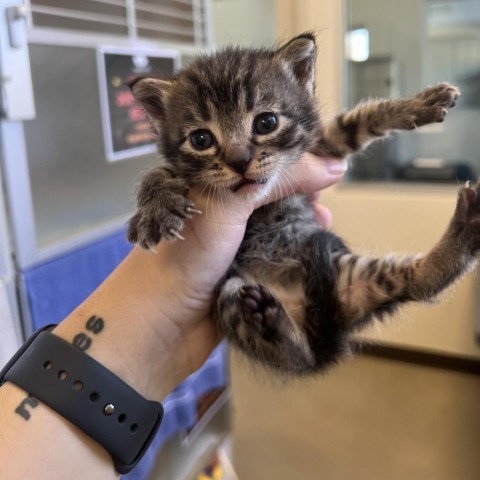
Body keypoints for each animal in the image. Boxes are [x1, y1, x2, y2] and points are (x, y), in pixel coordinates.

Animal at [125, 33, 474, 376]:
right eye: (201, 140)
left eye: (266, 122)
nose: (240, 161)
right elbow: (158, 172)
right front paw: (155, 208)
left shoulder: (321, 144)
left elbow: (353, 122)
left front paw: (418, 104)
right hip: (229, 292)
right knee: (300, 358)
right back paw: (267, 322)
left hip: (346, 277)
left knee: (417, 284)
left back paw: (468, 225)